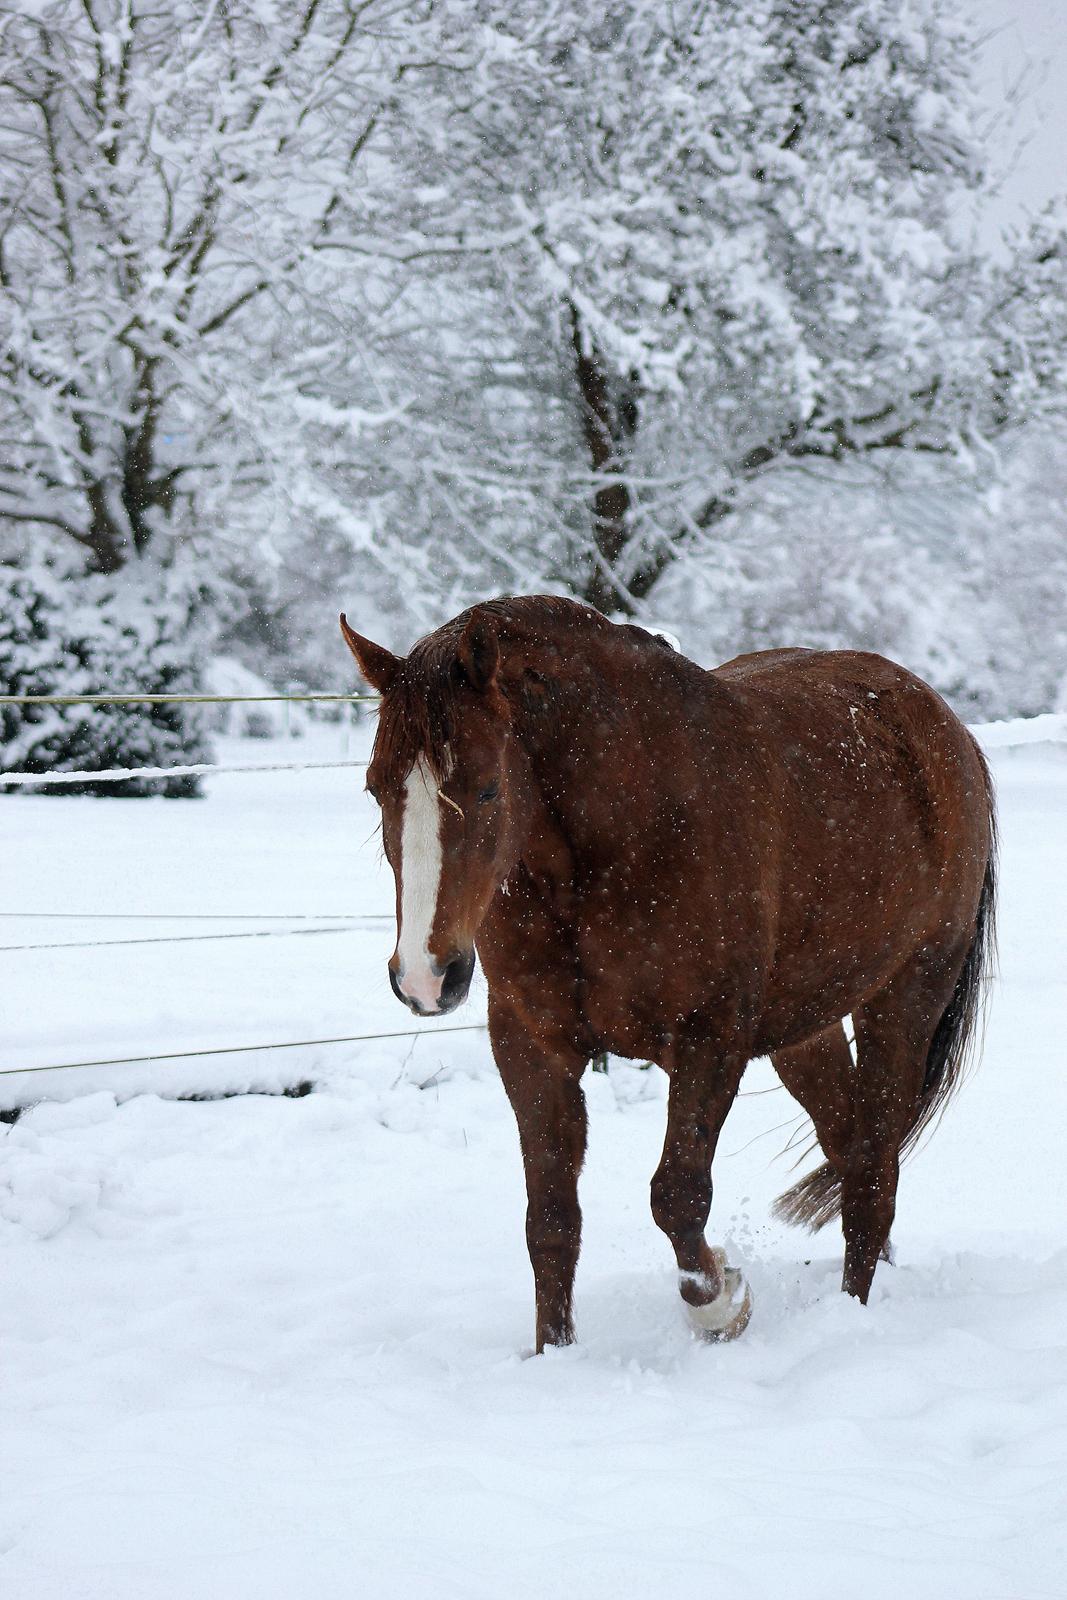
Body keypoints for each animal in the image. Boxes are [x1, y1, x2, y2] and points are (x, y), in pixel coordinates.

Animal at [337, 598, 998, 1350]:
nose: (425, 977)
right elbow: (551, 1220)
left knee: (873, 1171)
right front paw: (552, 1353)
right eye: (375, 788)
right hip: (807, 1028)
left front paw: (722, 1306)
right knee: (849, 1144)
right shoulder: (530, 1043)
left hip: (906, 997)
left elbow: (677, 1196)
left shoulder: (710, 1038)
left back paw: (851, 1314)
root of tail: (943, 727)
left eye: (486, 788)